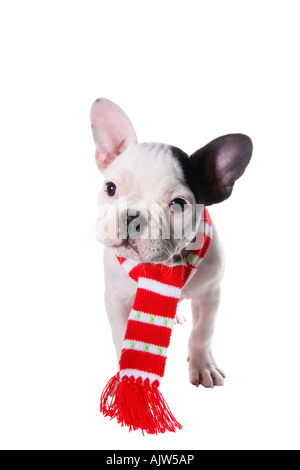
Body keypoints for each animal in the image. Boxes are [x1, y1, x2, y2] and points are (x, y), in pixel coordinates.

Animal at [90, 97, 252, 388]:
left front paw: (203, 366)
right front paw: (124, 378)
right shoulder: (117, 299)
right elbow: (121, 337)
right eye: (110, 188)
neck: (165, 266)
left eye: (178, 204)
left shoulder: (210, 295)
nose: (132, 217)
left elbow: (202, 333)